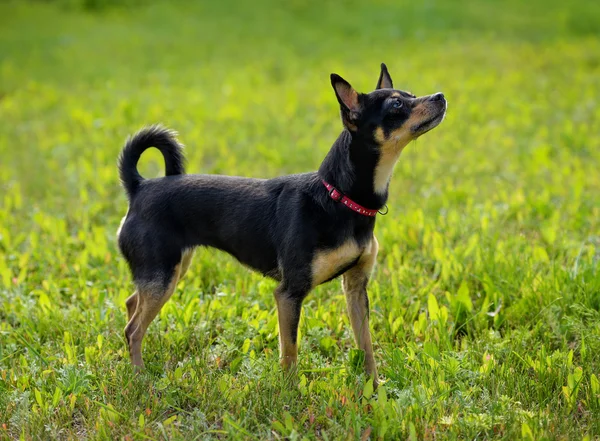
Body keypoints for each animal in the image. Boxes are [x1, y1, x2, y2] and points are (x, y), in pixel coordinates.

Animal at [117, 62, 446, 384]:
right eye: (396, 104)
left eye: (411, 94)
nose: (440, 96)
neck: (338, 197)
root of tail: (140, 187)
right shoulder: (289, 293)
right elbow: (290, 353)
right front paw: (289, 393)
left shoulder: (355, 288)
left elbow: (366, 346)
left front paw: (373, 388)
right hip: (162, 276)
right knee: (133, 329)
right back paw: (139, 377)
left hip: (170, 270)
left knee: (132, 304)